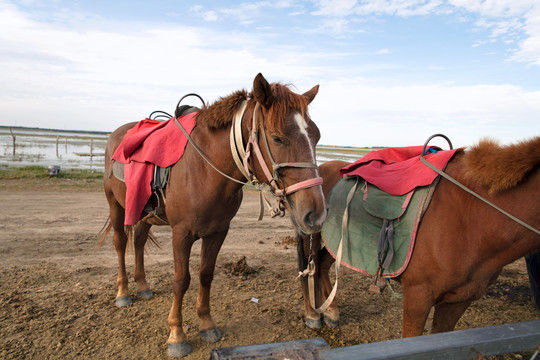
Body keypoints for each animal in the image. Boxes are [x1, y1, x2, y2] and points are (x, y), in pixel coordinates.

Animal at [104, 74, 326, 358]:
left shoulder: (218, 232)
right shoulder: (181, 234)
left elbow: (205, 275)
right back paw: (123, 292)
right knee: (121, 244)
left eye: (316, 136)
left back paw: (142, 286)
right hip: (116, 205)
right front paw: (176, 335)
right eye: (277, 138)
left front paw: (207, 324)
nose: (316, 214)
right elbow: (181, 280)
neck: (206, 170)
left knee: (139, 242)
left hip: (144, 214)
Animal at [298, 137, 540, 338]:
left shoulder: (457, 301)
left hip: (339, 243)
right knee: (312, 268)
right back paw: (315, 315)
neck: (471, 215)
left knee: (322, 265)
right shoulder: (418, 295)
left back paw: (331, 312)